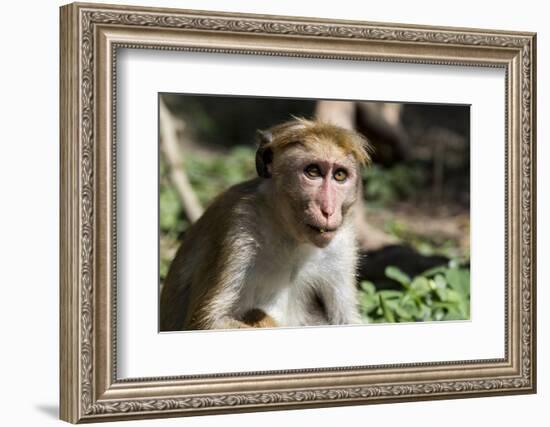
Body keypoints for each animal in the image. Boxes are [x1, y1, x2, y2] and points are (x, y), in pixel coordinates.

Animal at [162, 118, 374, 332]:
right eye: (313, 172)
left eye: (339, 176)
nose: (328, 210)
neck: (290, 234)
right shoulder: (239, 223)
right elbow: (207, 321)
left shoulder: (342, 243)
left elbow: (345, 318)